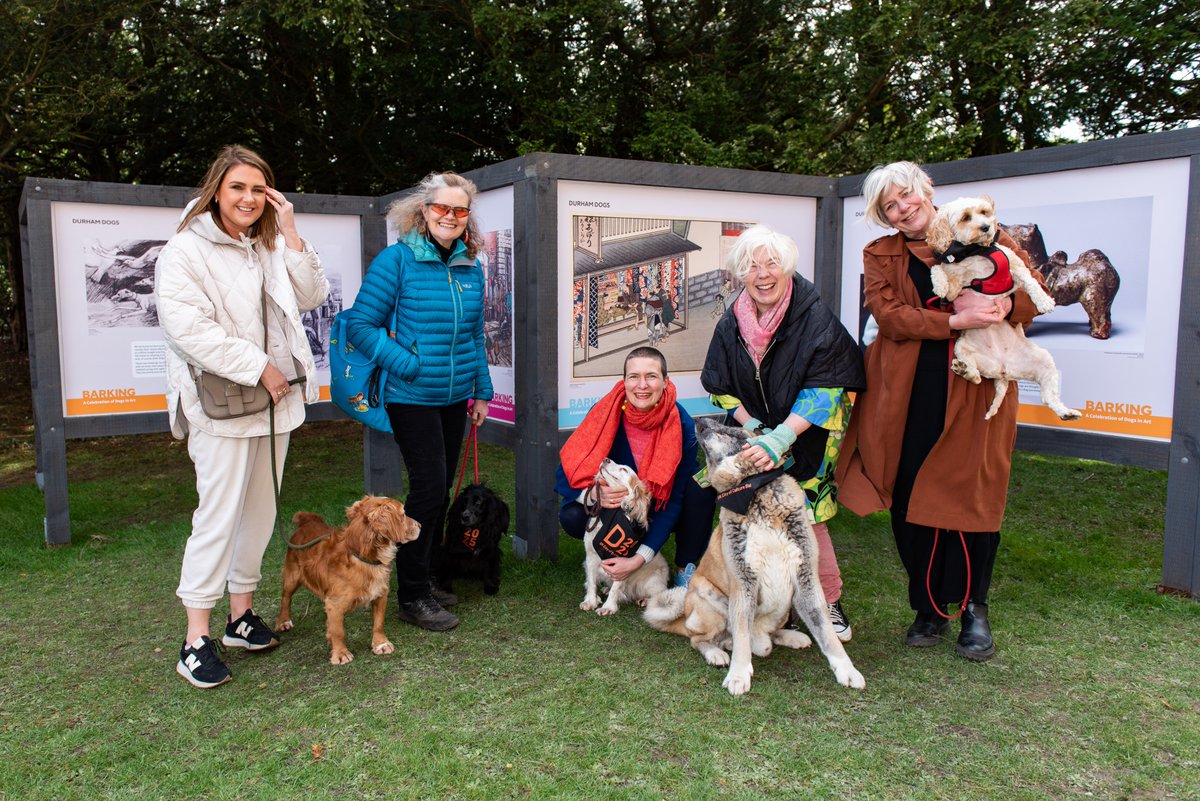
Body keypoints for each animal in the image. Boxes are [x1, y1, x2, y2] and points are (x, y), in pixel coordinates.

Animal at [578, 460, 672, 618]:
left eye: (624, 469)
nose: (606, 459)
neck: (610, 515)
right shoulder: (590, 556)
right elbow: (591, 582)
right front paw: (590, 601)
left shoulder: (621, 566)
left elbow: (616, 588)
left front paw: (608, 607)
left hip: (653, 582)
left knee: (658, 595)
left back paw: (644, 600)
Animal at [648, 419, 864, 695]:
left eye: (731, 426)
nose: (698, 420)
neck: (752, 489)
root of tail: (685, 619)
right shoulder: (743, 584)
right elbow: (741, 636)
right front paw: (739, 674)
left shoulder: (806, 580)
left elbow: (827, 631)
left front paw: (847, 669)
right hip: (707, 595)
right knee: (700, 639)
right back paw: (716, 653)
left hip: (785, 606)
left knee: (769, 634)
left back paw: (790, 637)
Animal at [921, 194, 1084, 422]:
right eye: (965, 217)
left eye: (984, 212)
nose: (986, 227)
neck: (973, 251)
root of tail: (1004, 370)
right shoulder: (955, 287)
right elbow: (938, 269)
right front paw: (939, 285)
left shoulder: (1015, 266)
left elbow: (1032, 282)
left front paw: (1044, 301)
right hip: (962, 348)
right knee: (977, 376)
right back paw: (964, 370)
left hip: (1044, 361)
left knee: (1048, 397)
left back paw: (1066, 412)